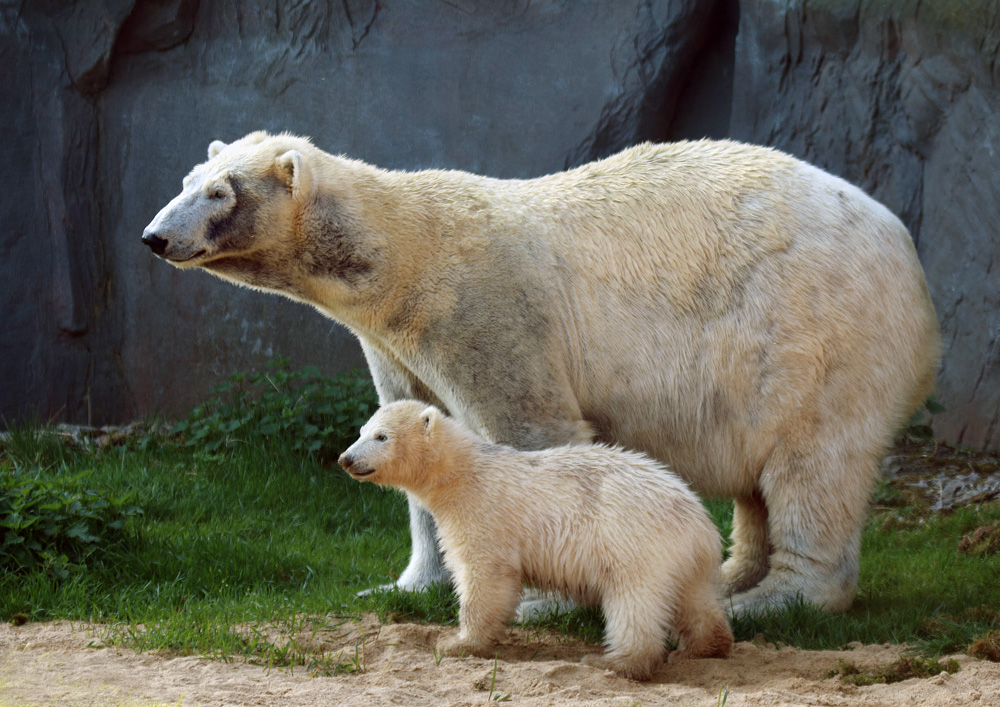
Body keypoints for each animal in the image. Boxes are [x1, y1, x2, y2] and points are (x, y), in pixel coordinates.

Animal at [145, 133, 940, 620]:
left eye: (220, 192)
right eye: (187, 178)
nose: (154, 236)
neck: (404, 255)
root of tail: (904, 246)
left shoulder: (486, 308)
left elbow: (532, 429)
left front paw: (540, 602)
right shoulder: (394, 346)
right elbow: (409, 432)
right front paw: (405, 586)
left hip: (815, 332)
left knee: (814, 461)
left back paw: (771, 599)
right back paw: (729, 577)